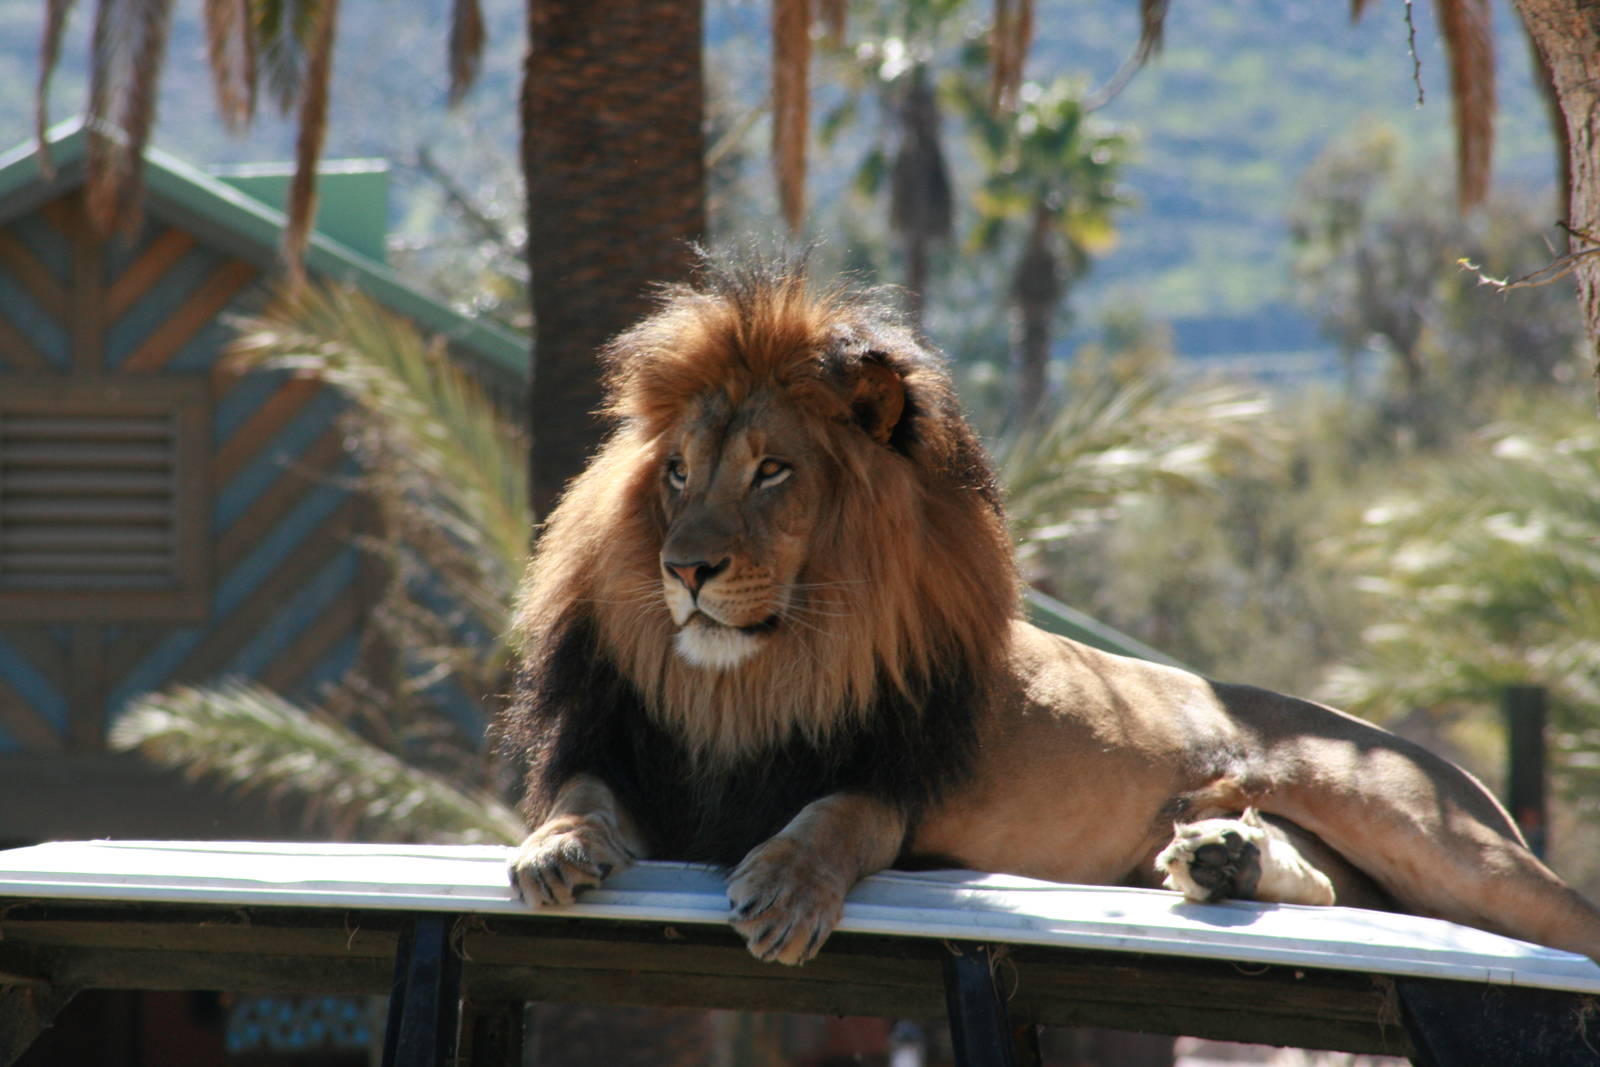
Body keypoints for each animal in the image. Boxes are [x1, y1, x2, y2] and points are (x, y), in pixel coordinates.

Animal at [500, 260, 1600, 968]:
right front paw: (552, 851)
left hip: (1440, 838)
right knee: (1328, 888)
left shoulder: (894, 776)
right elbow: (581, 796)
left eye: (772, 470)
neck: (751, 679)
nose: (683, 568)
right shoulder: (620, 741)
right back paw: (1223, 853)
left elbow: (835, 816)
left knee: (1560, 917)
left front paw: (786, 884)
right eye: (678, 473)